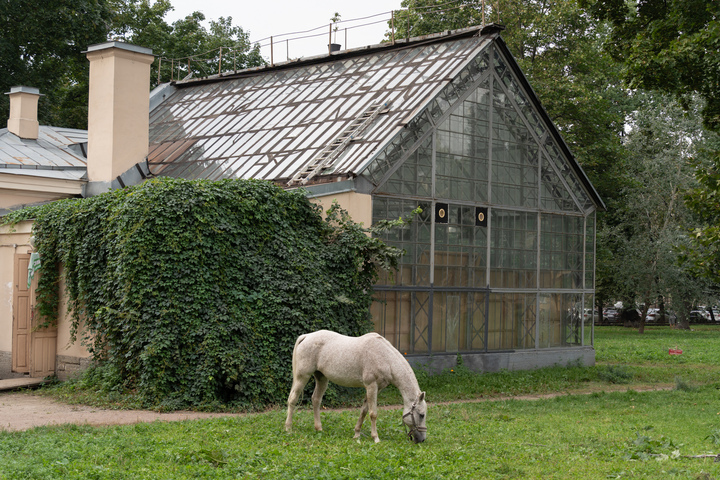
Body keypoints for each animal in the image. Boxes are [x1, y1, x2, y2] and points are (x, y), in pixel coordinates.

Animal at [282, 330, 428, 442]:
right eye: (421, 415)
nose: (422, 439)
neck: (384, 357)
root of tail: (306, 336)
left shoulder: (376, 388)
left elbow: (364, 410)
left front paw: (357, 434)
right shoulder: (371, 386)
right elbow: (373, 413)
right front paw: (375, 438)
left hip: (322, 378)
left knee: (316, 400)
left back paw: (319, 428)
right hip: (302, 376)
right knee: (292, 399)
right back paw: (288, 429)